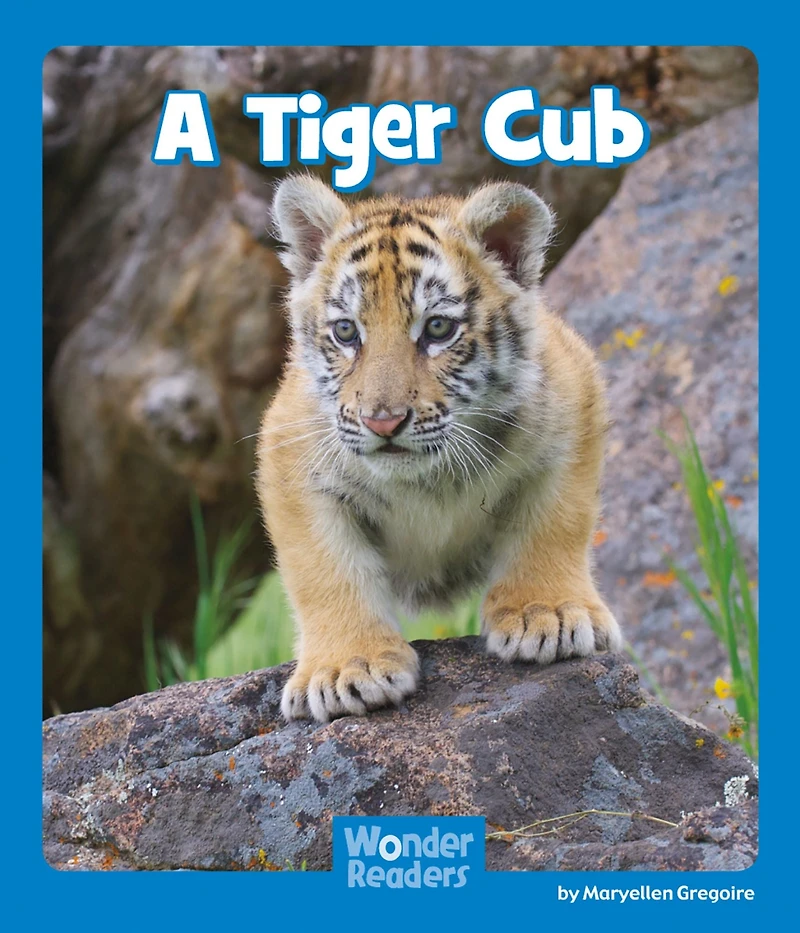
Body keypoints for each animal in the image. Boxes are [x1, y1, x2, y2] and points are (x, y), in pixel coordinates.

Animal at [256, 174, 622, 723]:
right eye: (346, 331)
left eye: (437, 328)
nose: (382, 421)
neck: (427, 479)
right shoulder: (292, 457)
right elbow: (326, 569)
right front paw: (348, 669)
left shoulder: (573, 408)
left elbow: (556, 523)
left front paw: (548, 614)